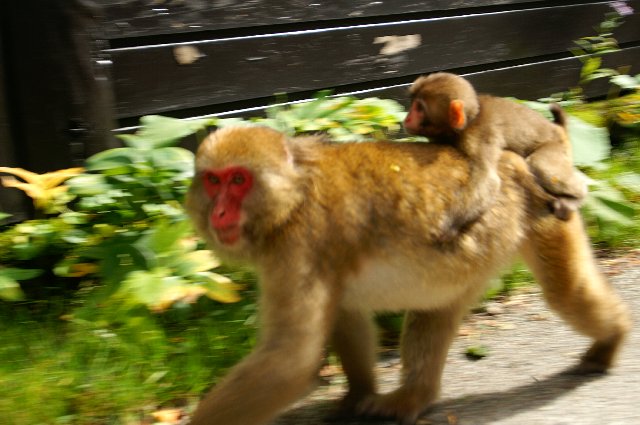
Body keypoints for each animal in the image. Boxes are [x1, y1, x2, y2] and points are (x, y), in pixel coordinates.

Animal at [185, 125, 630, 425]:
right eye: (213, 180)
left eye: (238, 180)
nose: (219, 212)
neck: (293, 197)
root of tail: (515, 160)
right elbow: (345, 315)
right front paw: (358, 394)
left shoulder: (300, 243)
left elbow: (290, 359)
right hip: (474, 253)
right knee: (436, 307)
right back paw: (416, 396)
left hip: (541, 215)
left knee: (566, 293)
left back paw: (614, 335)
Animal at [404, 72, 588, 236]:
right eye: (413, 104)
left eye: (419, 108)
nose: (407, 119)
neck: (469, 121)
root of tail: (557, 128)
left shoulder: (479, 137)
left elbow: (489, 181)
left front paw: (448, 226)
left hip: (555, 146)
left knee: (540, 165)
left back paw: (576, 197)